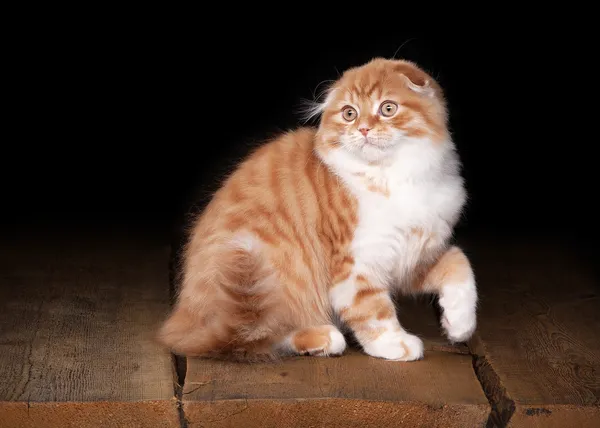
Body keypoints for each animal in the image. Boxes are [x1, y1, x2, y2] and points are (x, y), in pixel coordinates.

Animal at [158, 56, 478, 362]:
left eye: (388, 108)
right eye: (349, 113)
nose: (363, 128)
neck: (392, 176)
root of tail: (182, 322)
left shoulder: (414, 256)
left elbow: (460, 264)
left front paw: (459, 323)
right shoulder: (357, 262)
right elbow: (372, 310)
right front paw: (395, 345)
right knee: (252, 337)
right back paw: (323, 337)